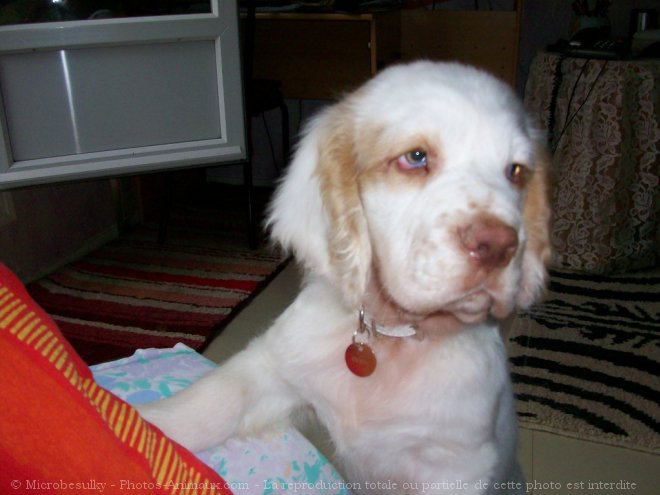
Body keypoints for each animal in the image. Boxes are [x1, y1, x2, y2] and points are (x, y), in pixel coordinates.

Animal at [139, 60, 552, 494]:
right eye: (415, 157)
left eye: (516, 172)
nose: (499, 246)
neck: (391, 337)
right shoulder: (272, 369)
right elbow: (208, 403)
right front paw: (133, 421)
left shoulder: (459, 466)